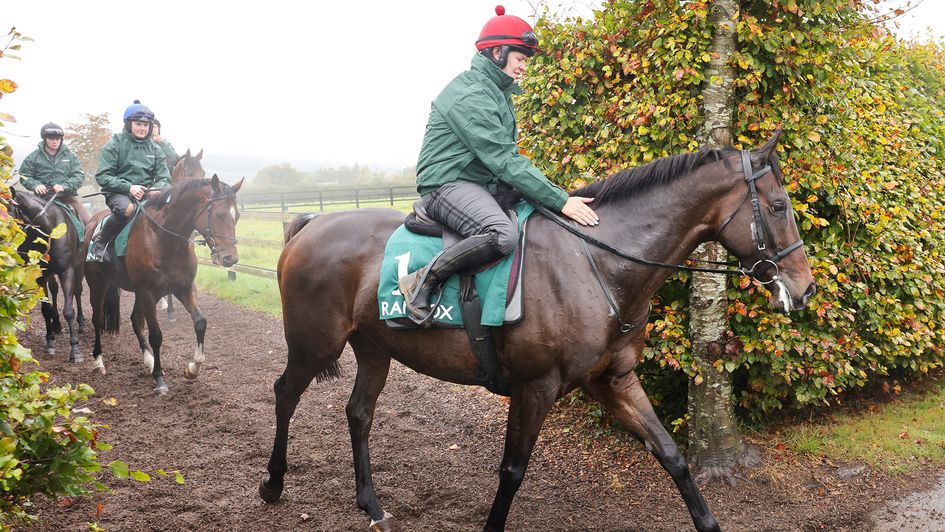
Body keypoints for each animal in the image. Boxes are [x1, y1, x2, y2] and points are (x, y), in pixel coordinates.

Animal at [10, 189, 86, 360]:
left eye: (7, 210)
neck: (48, 230)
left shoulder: (67, 271)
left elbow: (69, 311)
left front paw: (75, 350)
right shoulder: (41, 275)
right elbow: (46, 309)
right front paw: (50, 343)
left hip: (79, 266)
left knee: (78, 292)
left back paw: (82, 323)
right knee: (54, 290)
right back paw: (56, 325)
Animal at [82, 176, 242, 394]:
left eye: (237, 216)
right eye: (219, 214)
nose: (230, 258)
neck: (163, 239)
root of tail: (91, 223)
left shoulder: (183, 288)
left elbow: (200, 322)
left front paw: (192, 368)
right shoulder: (149, 293)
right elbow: (156, 335)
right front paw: (159, 379)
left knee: (135, 320)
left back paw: (149, 360)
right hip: (98, 284)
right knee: (97, 319)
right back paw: (99, 362)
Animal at [260, 130, 820, 532]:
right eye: (778, 207)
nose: (805, 287)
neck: (596, 262)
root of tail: (310, 224)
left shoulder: (613, 380)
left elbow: (671, 455)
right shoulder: (535, 388)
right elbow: (511, 471)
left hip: (375, 348)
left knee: (359, 413)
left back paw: (371, 504)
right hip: (313, 345)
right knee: (285, 392)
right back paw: (272, 483)